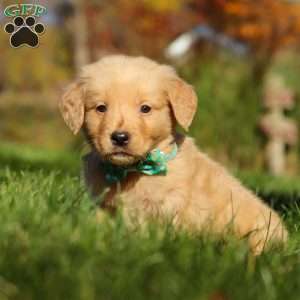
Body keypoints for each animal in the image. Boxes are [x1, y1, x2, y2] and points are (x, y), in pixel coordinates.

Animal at [59, 54, 288, 253]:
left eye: (145, 108)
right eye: (101, 108)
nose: (120, 137)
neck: (132, 171)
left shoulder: (169, 209)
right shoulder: (103, 207)